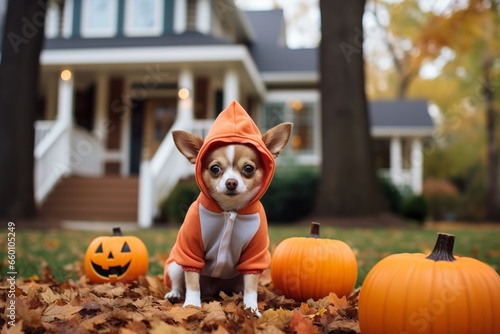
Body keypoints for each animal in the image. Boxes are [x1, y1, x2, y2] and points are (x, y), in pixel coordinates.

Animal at [162, 100, 292, 316]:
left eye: (248, 168)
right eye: (215, 168)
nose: (231, 182)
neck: (230, 211)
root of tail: (212, 289)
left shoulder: (253, 259)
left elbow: (250, 288)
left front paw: (251, 309)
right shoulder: (190, 251)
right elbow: (192, 281)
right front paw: (192, 305)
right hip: (175, 265)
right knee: (180, 282)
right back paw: (174, 294)